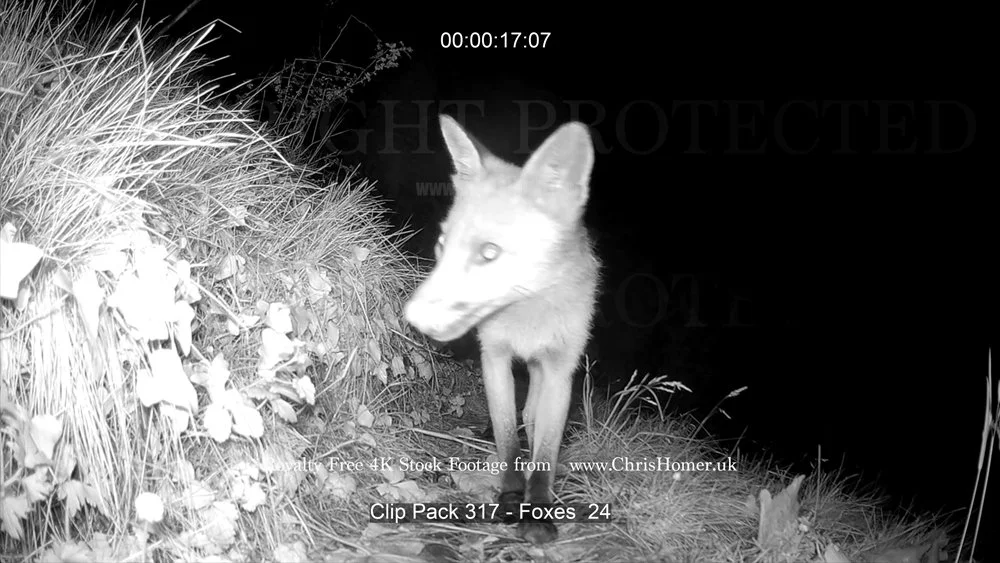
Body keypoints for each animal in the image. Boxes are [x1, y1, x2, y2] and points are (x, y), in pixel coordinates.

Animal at [404, 114, 600, 544]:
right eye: (442, 244)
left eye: (489, 253)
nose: (412, 318)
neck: (527, 318)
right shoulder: (494, 356)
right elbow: (507, 438)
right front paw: (511, 498)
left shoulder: (560, 370)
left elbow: (545, 451)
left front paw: (538, 509)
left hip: (543, 374)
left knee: (532, 415)